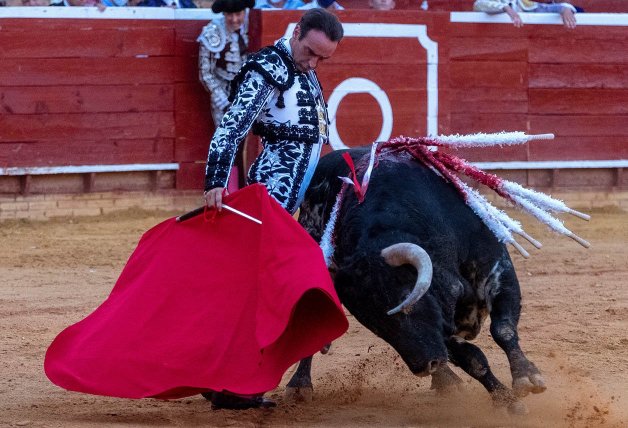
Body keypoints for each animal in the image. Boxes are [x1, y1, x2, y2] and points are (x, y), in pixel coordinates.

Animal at [288, 146, 548, 414]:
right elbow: (473, 360)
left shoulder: (498, 270)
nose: (425, 366)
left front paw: (526, 377)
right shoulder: (443, 324)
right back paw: (300, 385)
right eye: (374, 324)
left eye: (407, 302)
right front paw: (507, 402)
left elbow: (503, 330)